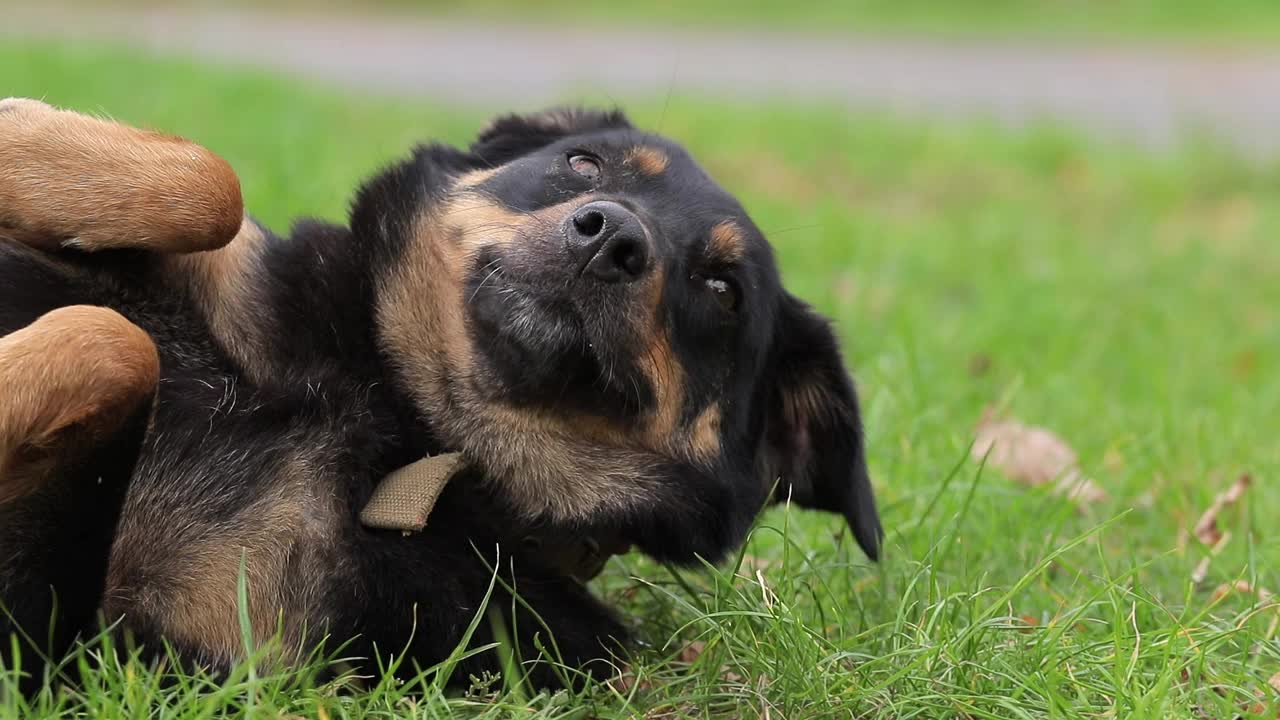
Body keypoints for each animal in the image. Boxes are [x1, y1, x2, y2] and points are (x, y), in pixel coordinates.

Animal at [0, 98, 880, 686]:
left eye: (723, 290)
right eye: (583, 163)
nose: (613, 238)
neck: (398, 421)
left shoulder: (82, 648)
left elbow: (113, 345)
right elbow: (216, 188)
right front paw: (21, 132)